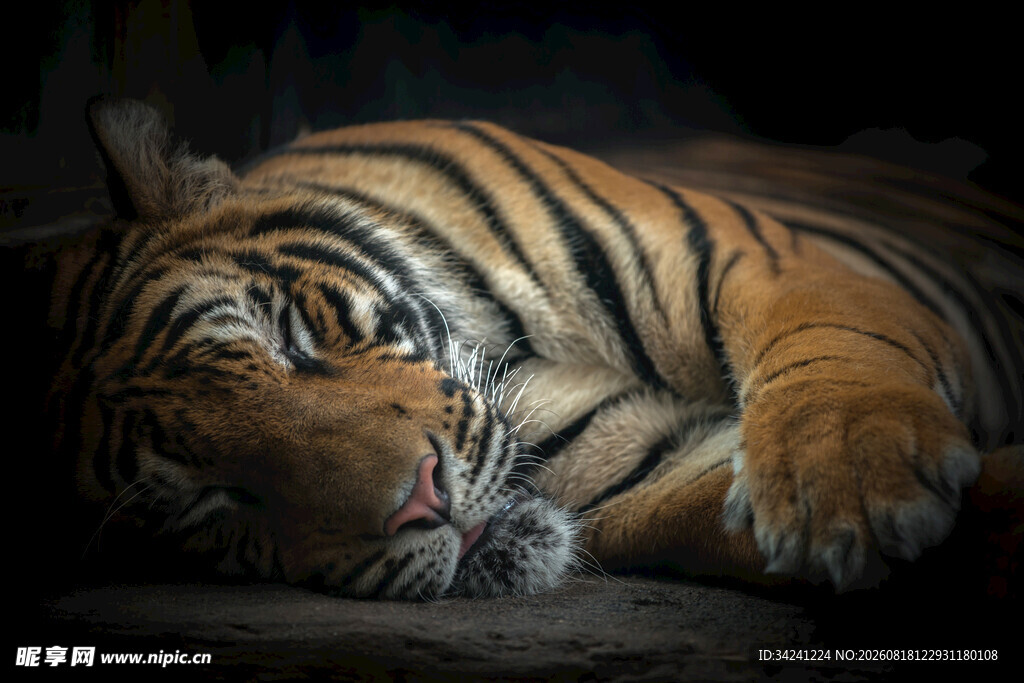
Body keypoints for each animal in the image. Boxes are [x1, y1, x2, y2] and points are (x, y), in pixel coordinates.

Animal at [33, 97, 1022, 600]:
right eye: (212, 499)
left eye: (290, 338)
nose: (419, 504)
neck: (516, 364)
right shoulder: (655, 464)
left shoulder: (747, 253)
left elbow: (833, 347)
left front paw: (847, 487)